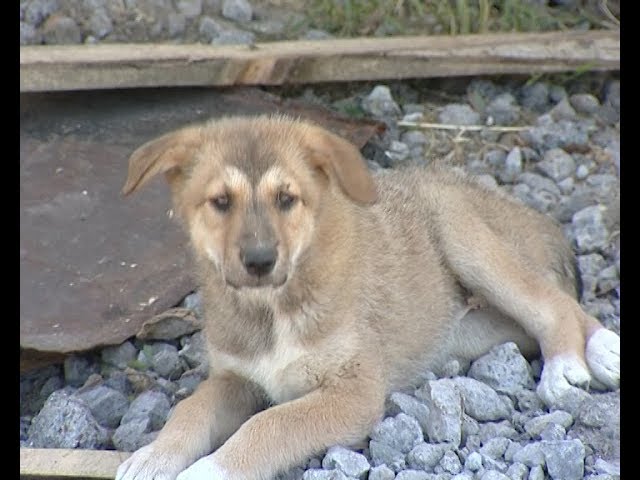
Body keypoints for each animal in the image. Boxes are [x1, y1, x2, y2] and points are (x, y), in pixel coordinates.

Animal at [115, 115, 620, 480]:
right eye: (220, 202)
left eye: (287, 198)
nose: (259, 260)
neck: (273, 309)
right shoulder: (236, 379)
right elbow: (189, 410)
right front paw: (153, 457)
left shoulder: (354, 391)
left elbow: (268, 425)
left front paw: (209, 470)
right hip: (461, 329)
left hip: (466, 239)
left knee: (553, 301)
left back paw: (577, 360)